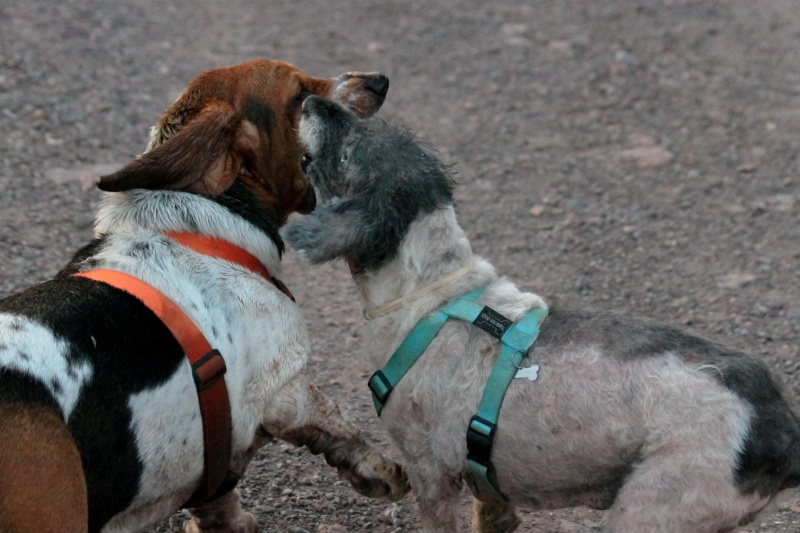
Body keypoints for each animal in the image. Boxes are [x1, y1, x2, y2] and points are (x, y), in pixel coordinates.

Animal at [0, 60, 406, 532]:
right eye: (298, 94)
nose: (378, 82)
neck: (208, 215)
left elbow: (218, 498)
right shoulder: (285, 385)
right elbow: (337, 420)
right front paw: (380, 471)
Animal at [282, 95, 800, 532]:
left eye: (348, 154)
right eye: (372, 124)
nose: (311, 100)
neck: (431, 291)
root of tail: (779, 426)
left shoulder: (431, 472)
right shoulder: (488, 486)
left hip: (655, 507)